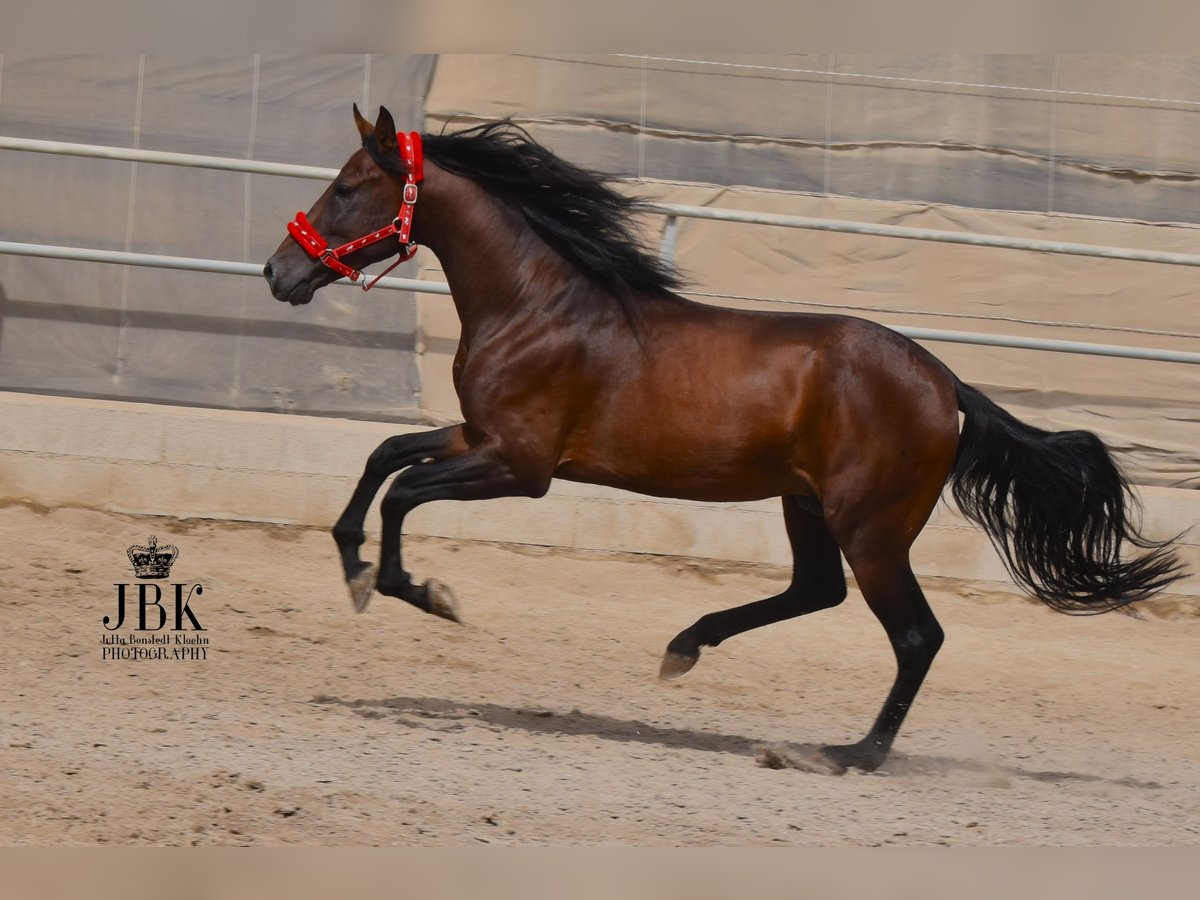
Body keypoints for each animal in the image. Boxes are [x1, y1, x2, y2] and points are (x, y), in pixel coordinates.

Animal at [265, 102, 1180, 772]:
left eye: (347, 186)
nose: (278, 272)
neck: (539, 304)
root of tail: (946, 384)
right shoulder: (477, 434)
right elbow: (384, 458)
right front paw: (353, 568)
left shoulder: (519, 465)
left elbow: (404, 492)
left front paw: (420, 592)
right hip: (807, 505)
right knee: (817, 590)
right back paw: (684, 648)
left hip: (872, 529)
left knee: (916, 635)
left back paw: (847, 753)